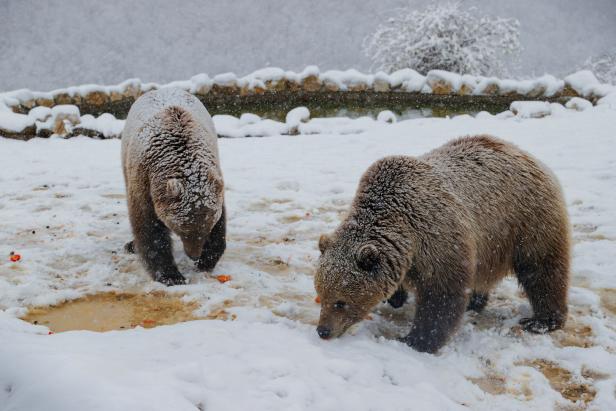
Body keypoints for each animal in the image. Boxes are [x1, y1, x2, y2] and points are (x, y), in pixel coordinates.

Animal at [121, 87, 225, 286]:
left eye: (207, 226)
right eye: (183, 229)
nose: (194, 255)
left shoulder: (214, 178)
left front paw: (207, 260)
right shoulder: (144, 182)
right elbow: (150, 230)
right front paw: (172, 275)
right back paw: (131, 245)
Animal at [316, 135, 572, 354]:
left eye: (340, 302)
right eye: (320, 295)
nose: (323, 331)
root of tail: (524, 153)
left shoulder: (438, 239)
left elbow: (441, 296)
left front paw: (416, 340)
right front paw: (396, 298)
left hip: (525, 221)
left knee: (542, 269)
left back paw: (542, 320)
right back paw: (476, 301)